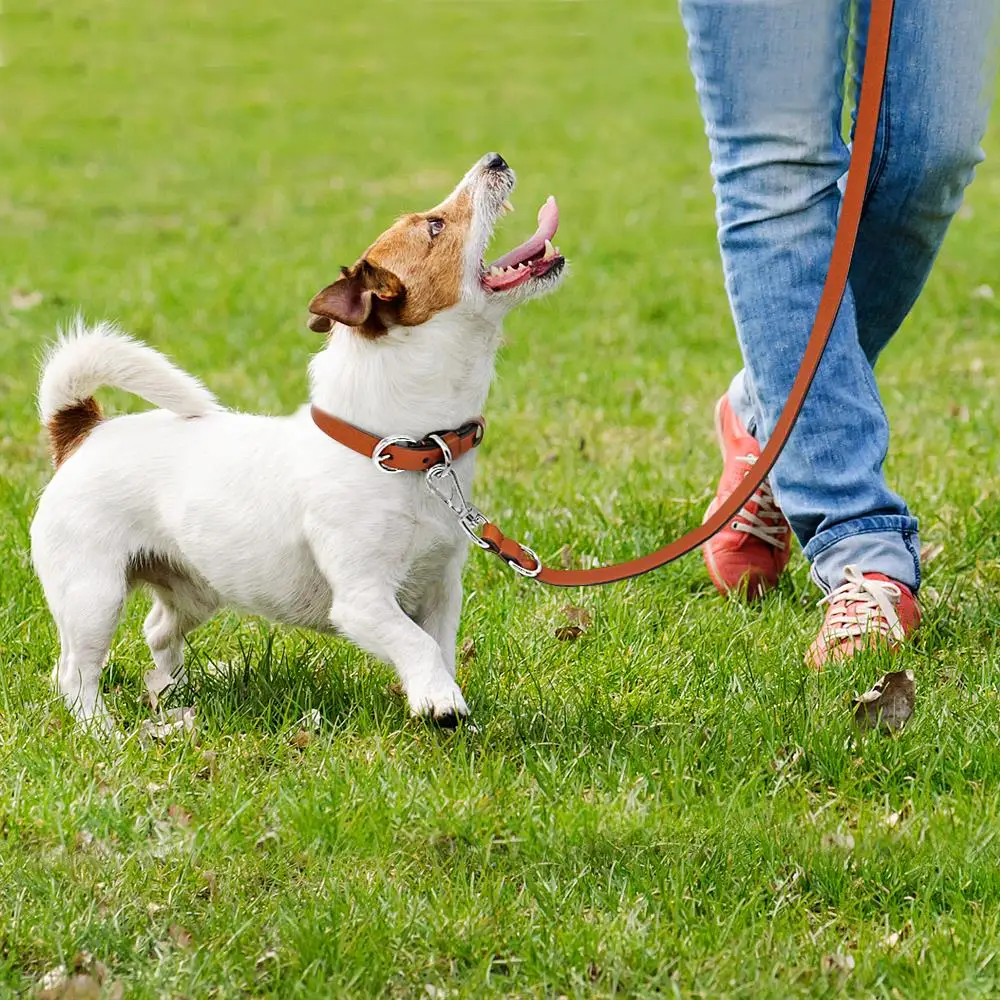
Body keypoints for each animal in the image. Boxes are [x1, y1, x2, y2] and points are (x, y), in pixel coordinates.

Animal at [29, 156, 564, 736]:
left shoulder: (441, 590)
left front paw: (436, 698)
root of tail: (83, 432)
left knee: (156, 630)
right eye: (435, 226)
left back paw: (173, 693)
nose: (495, 160)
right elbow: (416, 644)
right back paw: (103, 731)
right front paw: (440, 701)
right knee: (75, 672)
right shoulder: (362, 600)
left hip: (194, 589)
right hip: (92, 595)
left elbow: (437, 648)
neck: (400, 449)